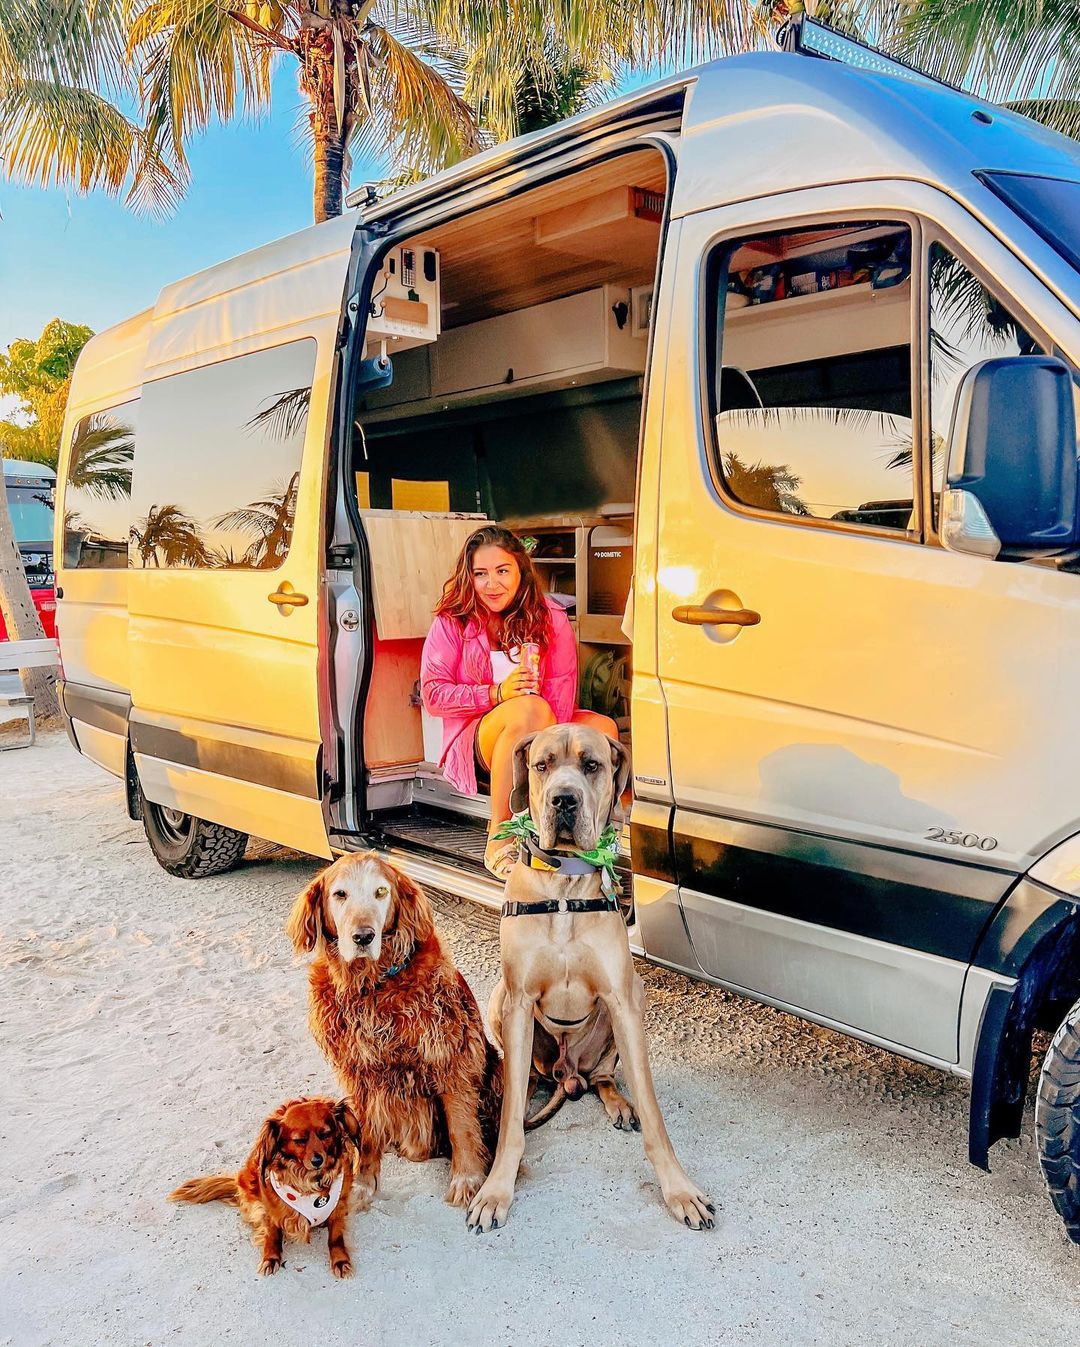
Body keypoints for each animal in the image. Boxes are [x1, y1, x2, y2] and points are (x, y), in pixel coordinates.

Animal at [168, 1093, 360, 1271]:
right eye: (300, 1140)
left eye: (325, 1135)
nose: (318, 1160)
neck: (310, 1181)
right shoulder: (269, 1207)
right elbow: (273, 1234)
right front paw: (271, 1258)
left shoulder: (339, 1205)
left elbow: (335, 1236)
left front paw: (340, 1260)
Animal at [288, 851, 503, 1212]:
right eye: (340, 894)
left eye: (381, 892)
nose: (363, 936)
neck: (372, 986)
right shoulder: (358, 1073)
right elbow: (364, 1135)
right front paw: (361, 1185)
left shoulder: (449, 1056)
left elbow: (461, 1126)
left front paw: (467, 1180)